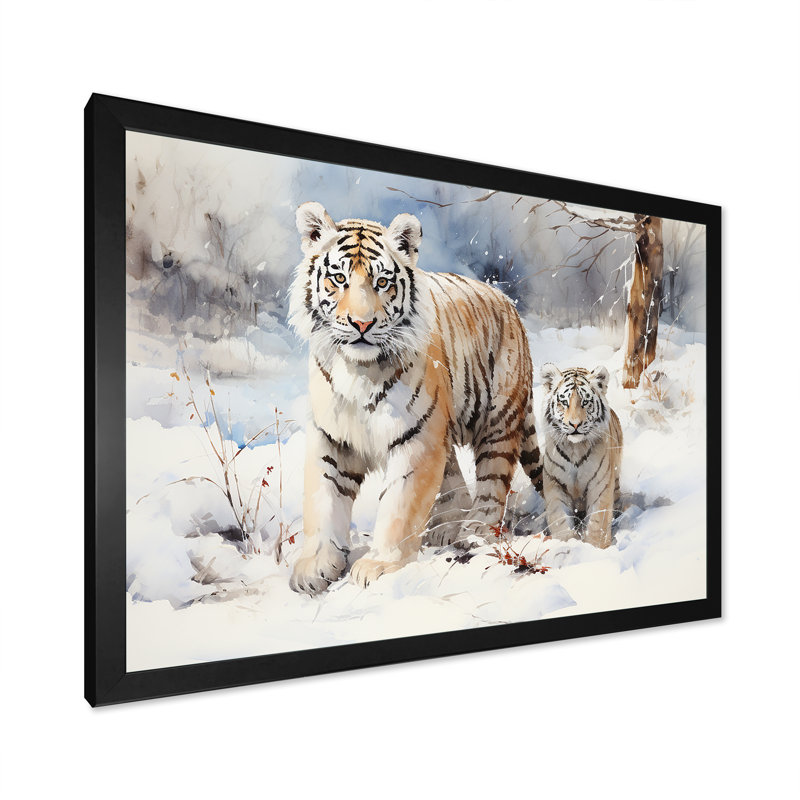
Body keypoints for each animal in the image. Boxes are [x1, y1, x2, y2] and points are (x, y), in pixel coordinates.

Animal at [287, 201, 543, 594]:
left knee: (492, 481)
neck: (359, 370)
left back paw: (475, 532)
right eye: (339, 279)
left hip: (497, 419)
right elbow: (323, 498)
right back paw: (445, 528)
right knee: (454, 479)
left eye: (382, 282)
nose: (362, 324)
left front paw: (379, 565)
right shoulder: (332, 435)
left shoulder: (416, 438)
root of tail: (507, 303)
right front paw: (315, 565)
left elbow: (399, 506)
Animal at [540, 363, 623, 549]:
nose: (575, 424)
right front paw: (566, 544)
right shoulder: (555, 483)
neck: (575, 448)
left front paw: (596, 548)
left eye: (585, 402)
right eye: (564, 402)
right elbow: (559, 519)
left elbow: (598, 522)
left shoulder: (600, 484)